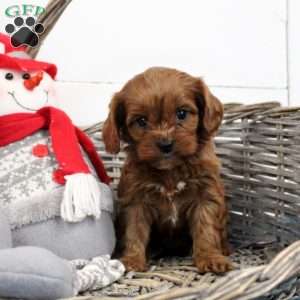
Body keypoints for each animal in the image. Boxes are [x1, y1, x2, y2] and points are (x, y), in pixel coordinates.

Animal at [103, 67, 232, 274]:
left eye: (182, 113)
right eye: (141, 121)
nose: (165, 144)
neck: (170, 170)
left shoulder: (205, 196)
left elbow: (206, 229)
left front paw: (210, 258)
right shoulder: (135, 202)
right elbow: (134, 231)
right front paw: (132, 260)